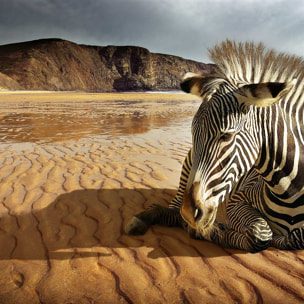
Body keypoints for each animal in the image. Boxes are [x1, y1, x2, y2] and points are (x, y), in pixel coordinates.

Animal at [124, 40, 304, 252]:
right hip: (187, 171)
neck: (290, 190)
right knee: (173, 211)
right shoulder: (238, 200)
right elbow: (260, 235)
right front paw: (211, 232)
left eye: (226, 136)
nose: (189, 213)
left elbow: (295, 236)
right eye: (193, 133)